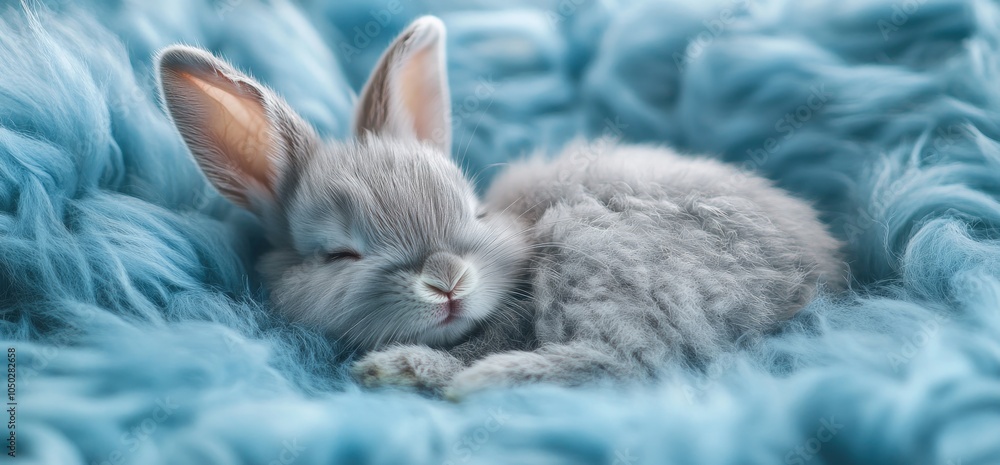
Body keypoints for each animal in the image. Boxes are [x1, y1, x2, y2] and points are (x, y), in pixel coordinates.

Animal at [157, 16, 845, 399]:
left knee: (628, 361)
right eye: (339, 254)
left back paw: (432, 375)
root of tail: (807, 281)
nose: (447, 281)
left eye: (472, 214)